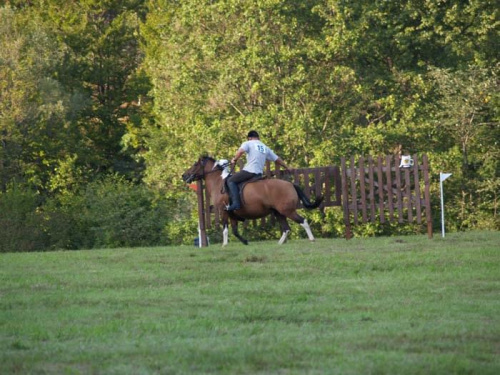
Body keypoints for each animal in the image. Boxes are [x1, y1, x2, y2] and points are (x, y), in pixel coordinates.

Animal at [181, 156, 324, 247]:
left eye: (195, 164)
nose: (183, 175)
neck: (219, 182)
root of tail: (290, 184)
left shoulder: (224, 211)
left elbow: (226, 229)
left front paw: (224, 244)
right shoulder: (232, 214)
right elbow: (235, 230)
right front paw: (245, 242)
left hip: (287, 211)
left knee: (302, 221)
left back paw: (312, 239)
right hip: (278, 212)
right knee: (286, 229)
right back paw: (279, 243)